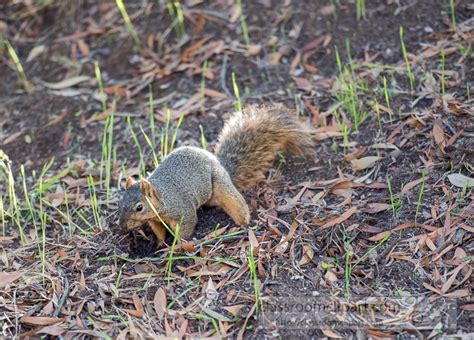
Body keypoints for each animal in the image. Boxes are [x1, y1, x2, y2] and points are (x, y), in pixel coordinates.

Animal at [118, 103, 314, 247]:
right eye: (121, 203)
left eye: (139, 207)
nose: (122, 226)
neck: (163, 196)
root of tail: (221, 165)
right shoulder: (155, 220)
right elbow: (159, 232)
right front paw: (158, 244)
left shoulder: (183, 211)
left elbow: (186, 228)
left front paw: (176, 246)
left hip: (221, 186)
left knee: (236, 204)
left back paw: (243, 225)